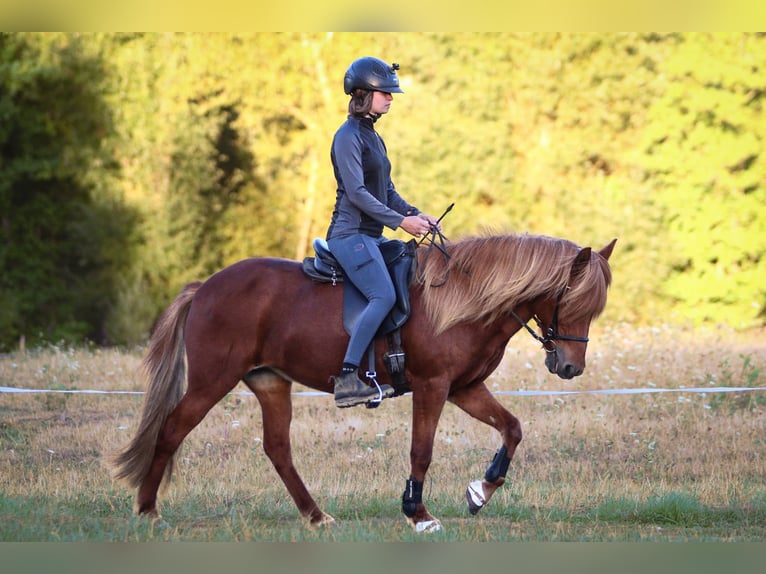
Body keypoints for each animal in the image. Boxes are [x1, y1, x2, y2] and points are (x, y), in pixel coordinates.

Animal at [111, 232, 616, 533]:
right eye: (570, 299)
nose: (570, 368)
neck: (463, 298)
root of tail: (206, 287)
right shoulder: (433, 386)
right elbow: (421, 450)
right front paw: (418, 513)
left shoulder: (464, 388)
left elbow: (512, 428)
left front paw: (480, 491)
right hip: (211, 382)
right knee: (171, 430)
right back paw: (148, 509)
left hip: (271, 383)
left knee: (278, 450)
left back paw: (316, 516)